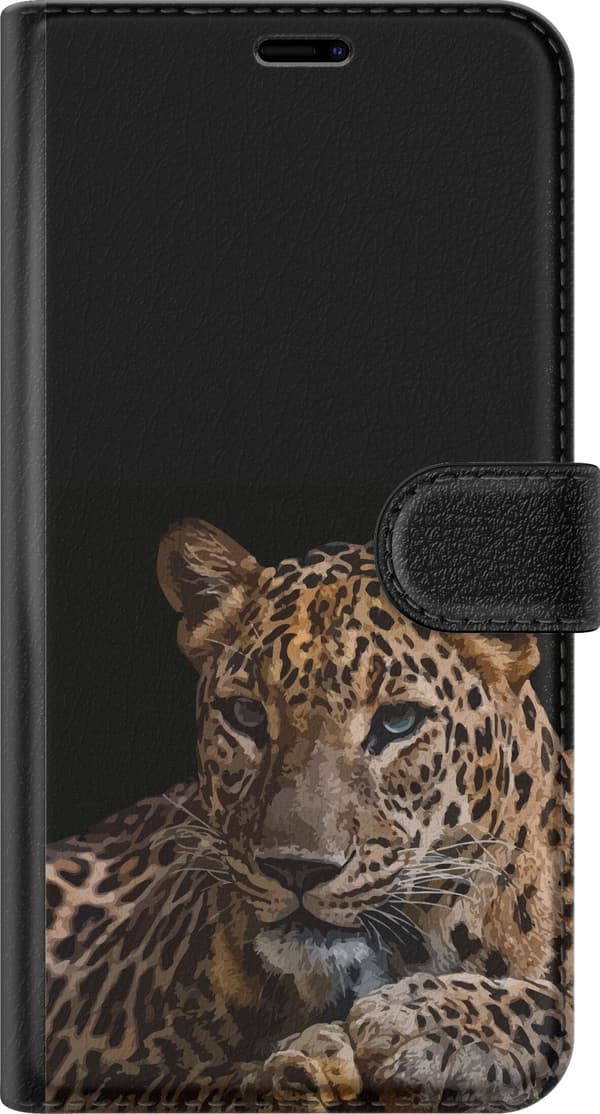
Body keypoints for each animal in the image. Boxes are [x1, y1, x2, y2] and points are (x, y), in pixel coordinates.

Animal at [46, 519, 573, 1112]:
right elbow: (186, 1085)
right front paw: (300, 1067)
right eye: (246, 714)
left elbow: (553, 1004)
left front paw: (419, 1023)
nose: (297, 869)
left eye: (398, 721)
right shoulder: (91, 1068)